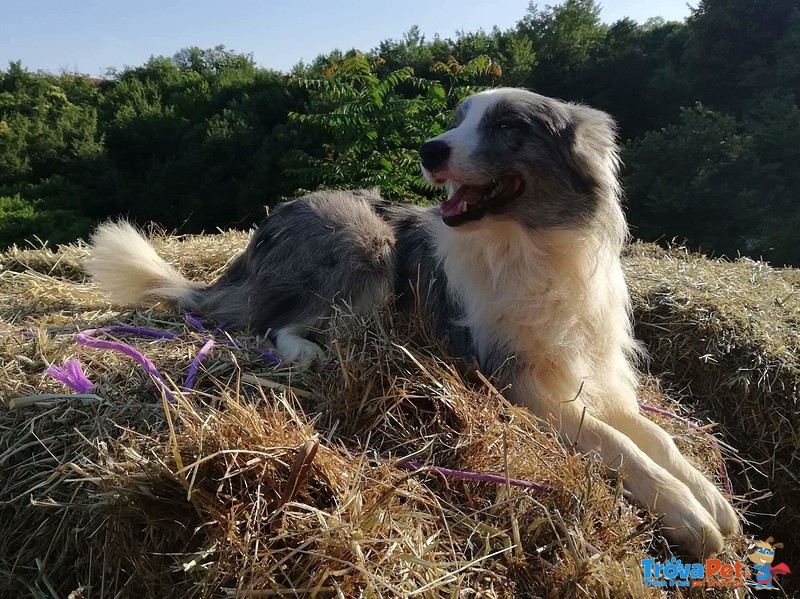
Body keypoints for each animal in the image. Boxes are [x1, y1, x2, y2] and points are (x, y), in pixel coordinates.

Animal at [86, 86, 736, 560]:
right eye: (457, 120)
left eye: (508, 127)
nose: (429, 149)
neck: (529, 248)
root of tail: (263, 230)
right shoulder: (514, 376)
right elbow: (617, 443)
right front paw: (688, 514)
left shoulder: (590, 372)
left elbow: (656, 436)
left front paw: (712, 499)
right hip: (365, 248)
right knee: (278, 326)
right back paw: (309, 353)